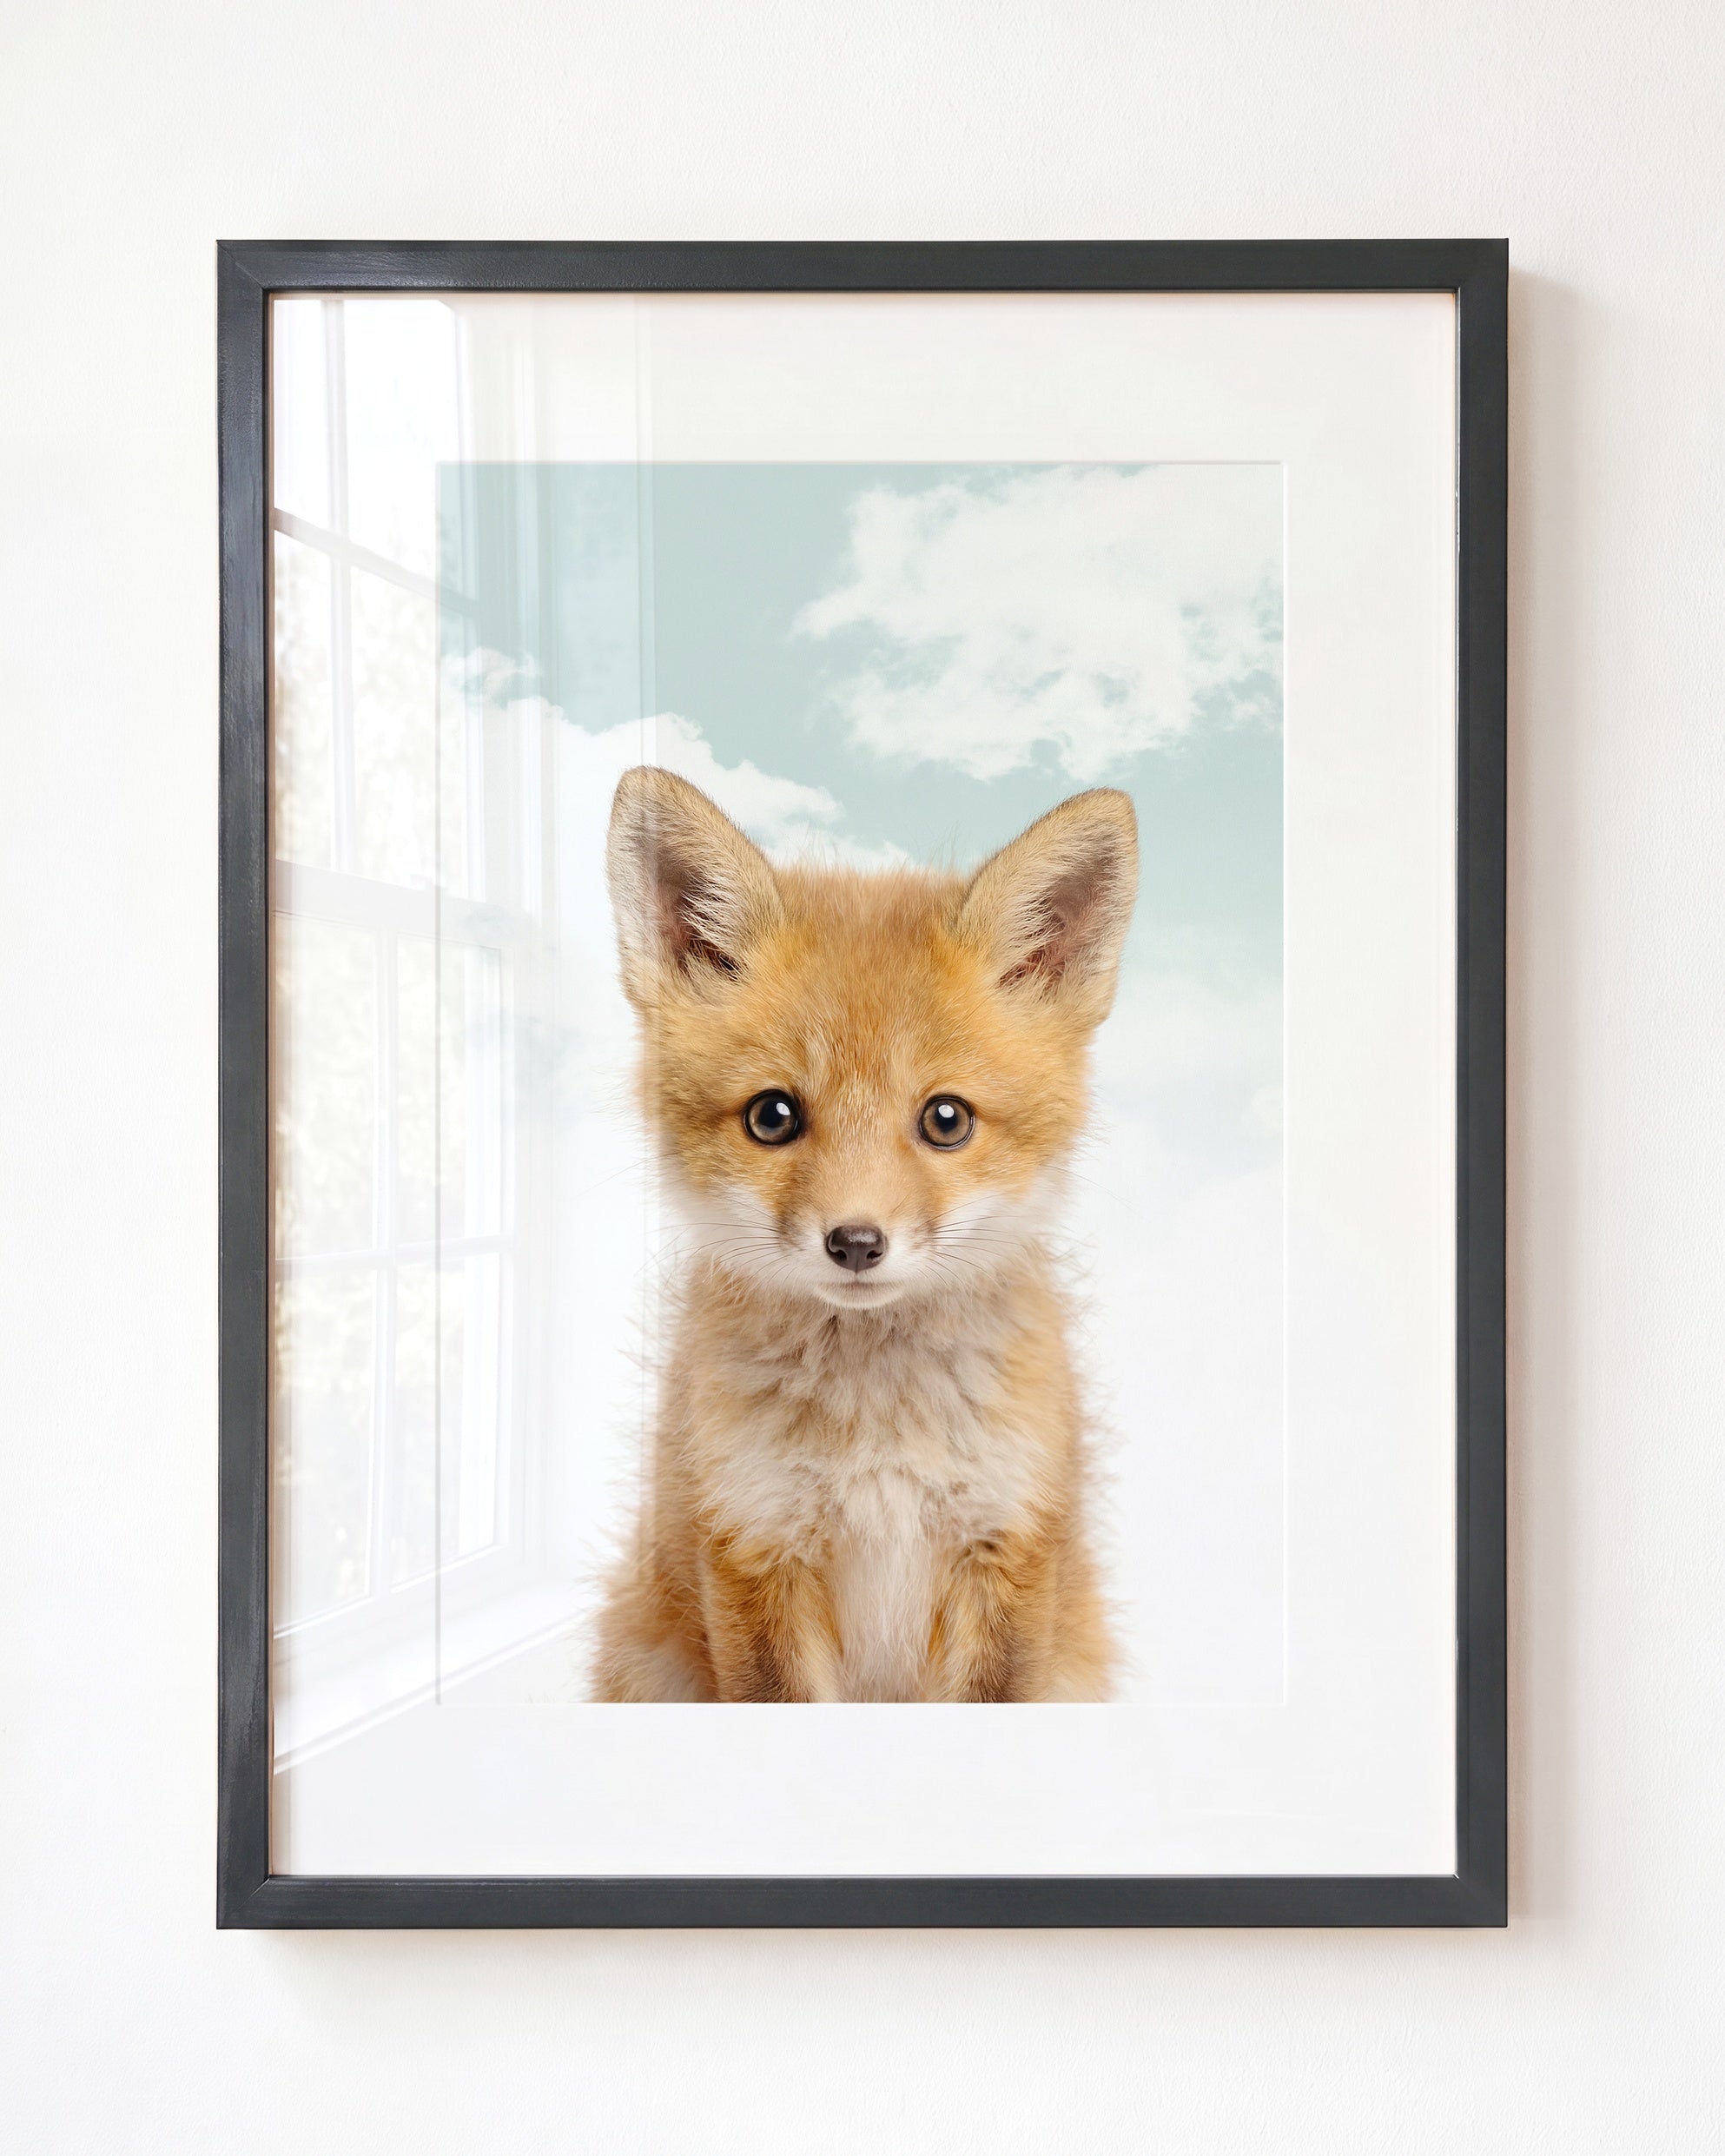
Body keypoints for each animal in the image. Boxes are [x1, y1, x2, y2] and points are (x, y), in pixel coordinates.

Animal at [590, 766, 1139, 1703]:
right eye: (772, 1116)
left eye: (946, 1120)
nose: (854, 1243)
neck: (877, 1441)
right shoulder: (754, 1545)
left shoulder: (1006, 1546)